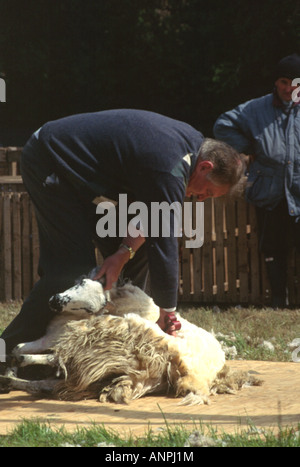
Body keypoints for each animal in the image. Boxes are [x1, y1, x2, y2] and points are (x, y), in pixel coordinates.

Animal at [0, 280, 260, 404]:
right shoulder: (53, 336)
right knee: (52, 381)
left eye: (90, 307)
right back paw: (11, 380)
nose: (55, 300)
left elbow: (25, 351)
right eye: (79, 282)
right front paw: (12, 368)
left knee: (58, 366)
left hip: (111, 342)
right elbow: (19, 347)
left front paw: (16, 364)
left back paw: (17, 373)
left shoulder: (70, 336)